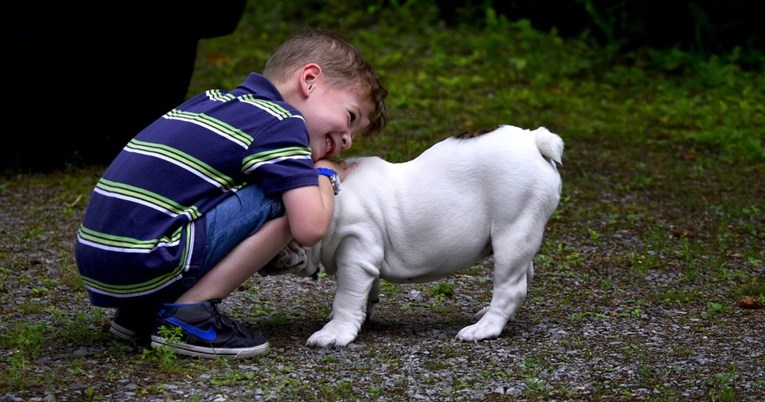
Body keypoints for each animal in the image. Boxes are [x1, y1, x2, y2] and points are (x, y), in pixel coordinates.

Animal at [262, 124, 560, 348]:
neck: (330, 199)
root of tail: (534, 140)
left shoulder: (356, 253)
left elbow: (346, 296)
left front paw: (335, 332)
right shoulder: (365, 260)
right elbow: (366, 291)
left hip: (513, 230)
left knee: (510, 286)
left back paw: (484, 328)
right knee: (524, 275)